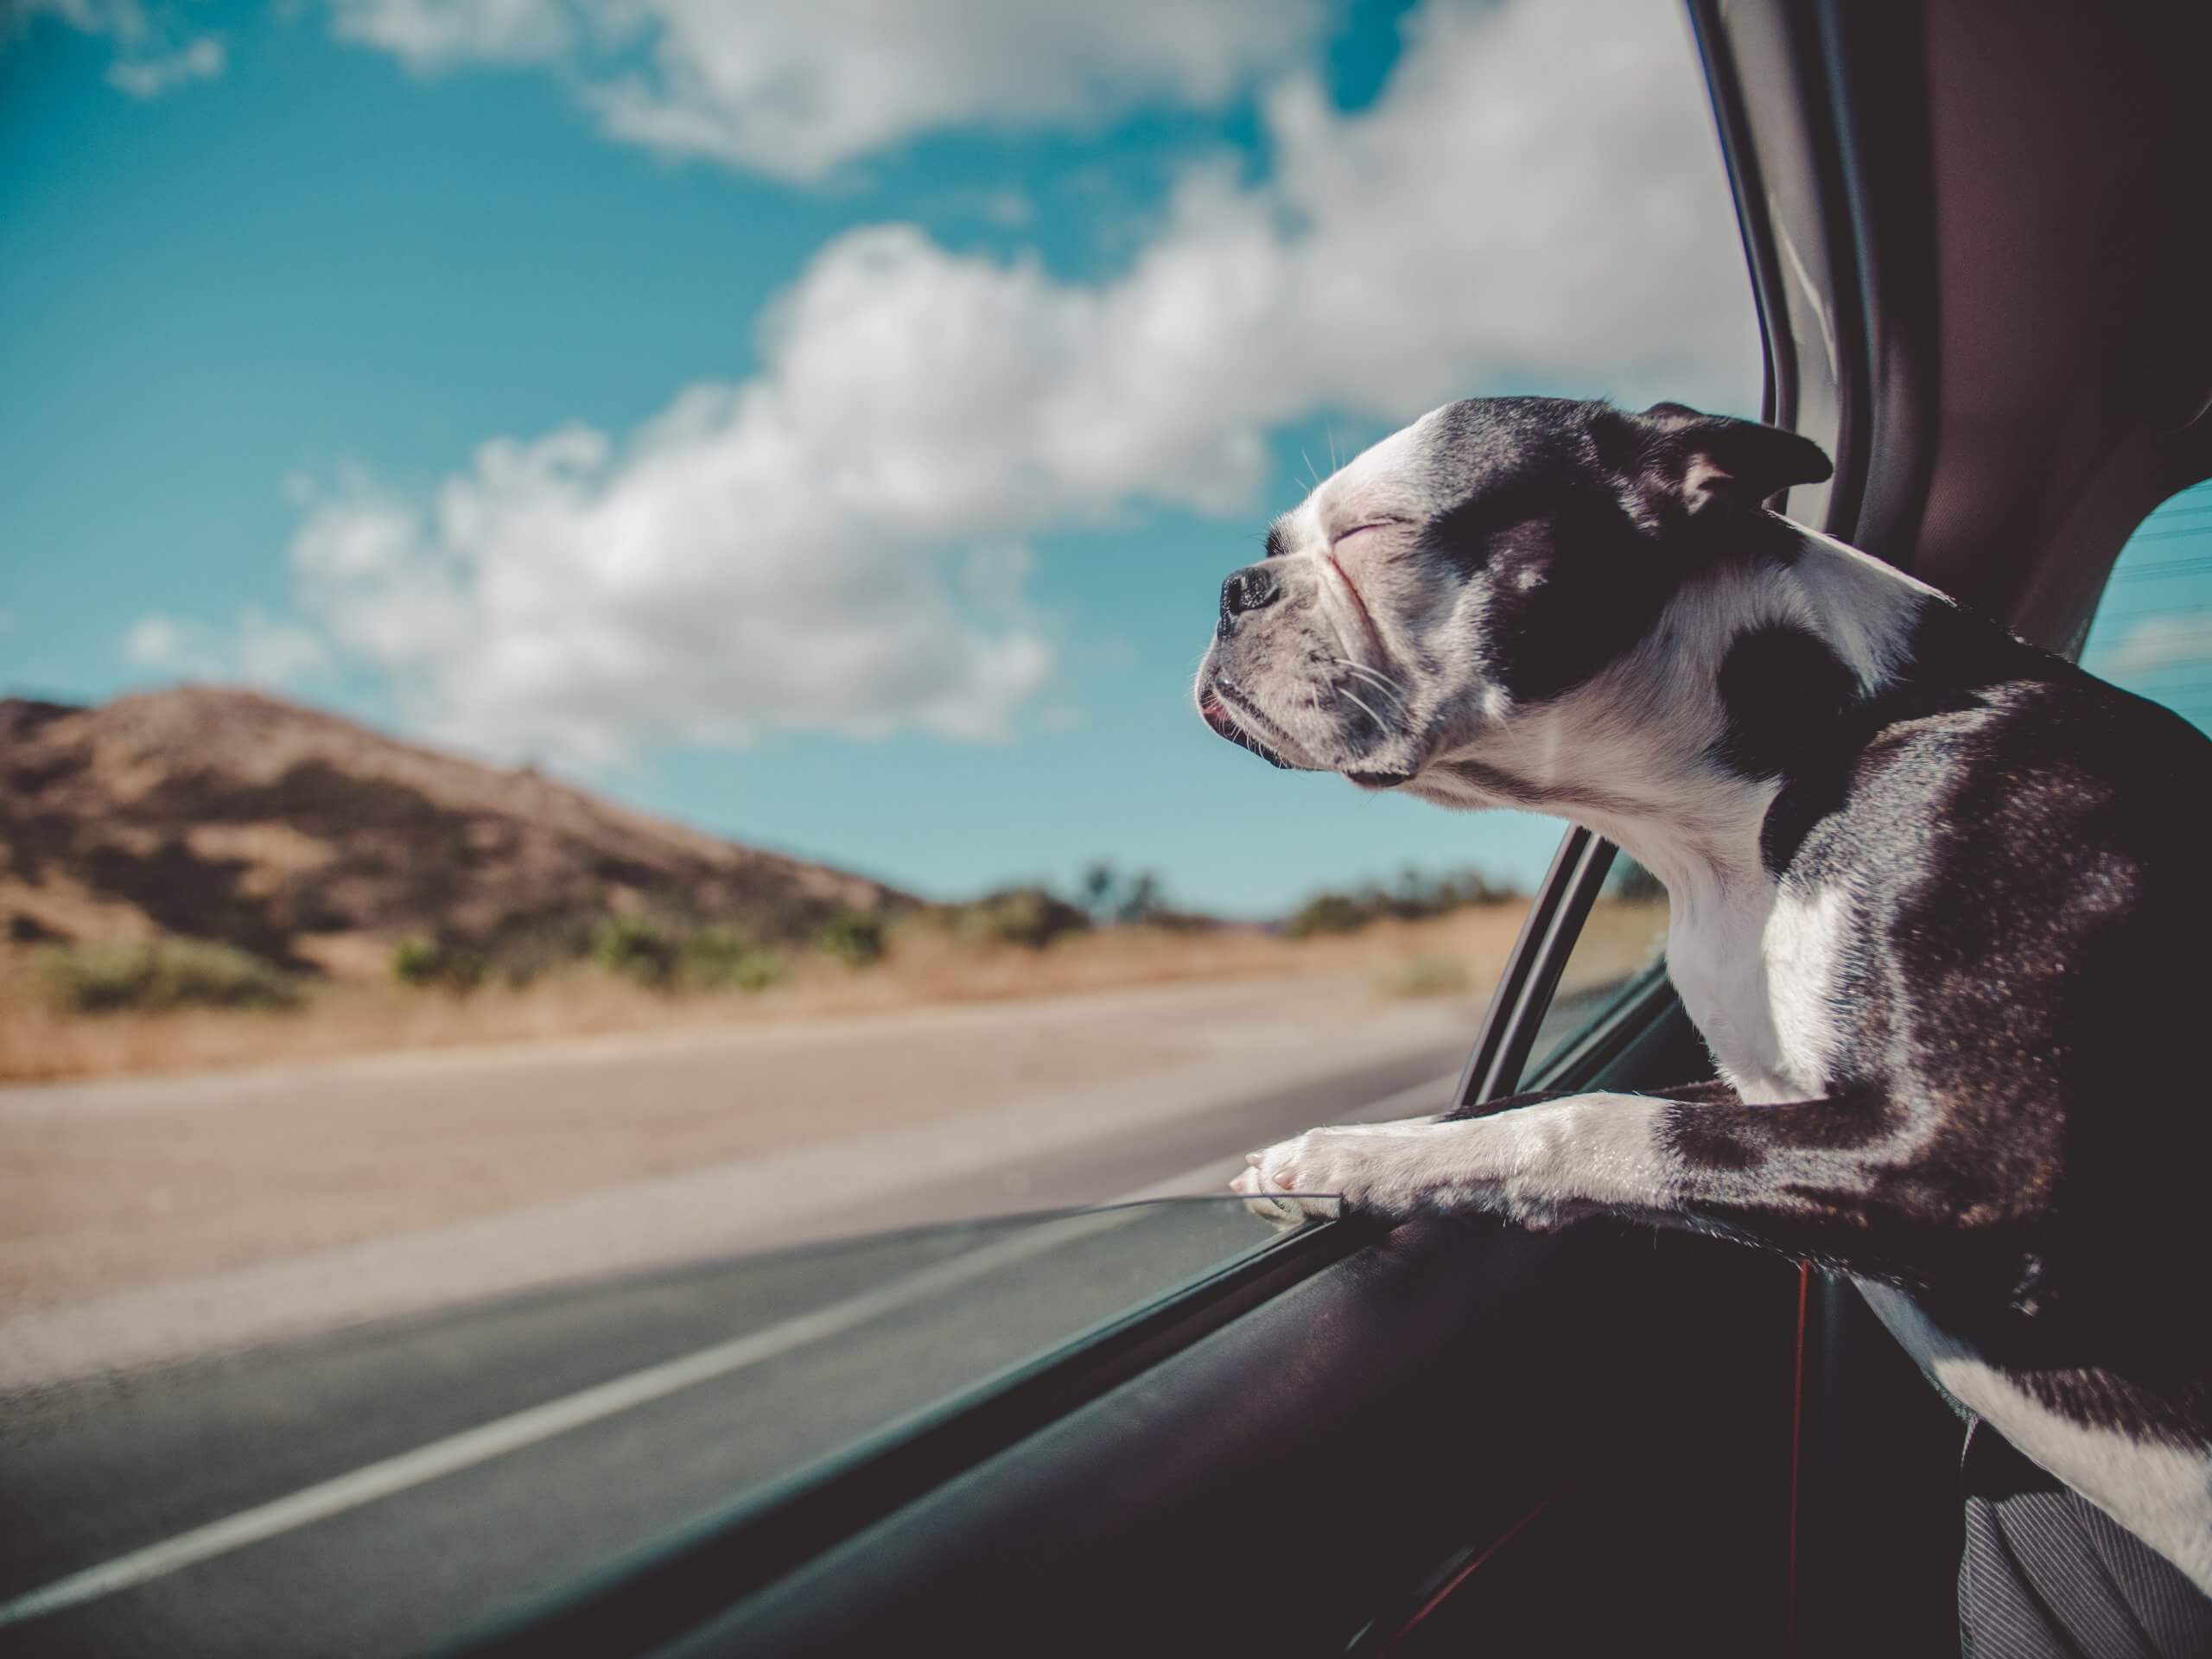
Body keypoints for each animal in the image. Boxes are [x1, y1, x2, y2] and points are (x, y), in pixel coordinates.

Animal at [1203, 396, 2212, 1601]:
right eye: (1274, 545)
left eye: (1374, 533)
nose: (1233, 587)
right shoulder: (1761, 1095)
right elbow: (1512, 1109)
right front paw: (1355, 1155)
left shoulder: (1964, 1158)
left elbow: (1585, 1123)